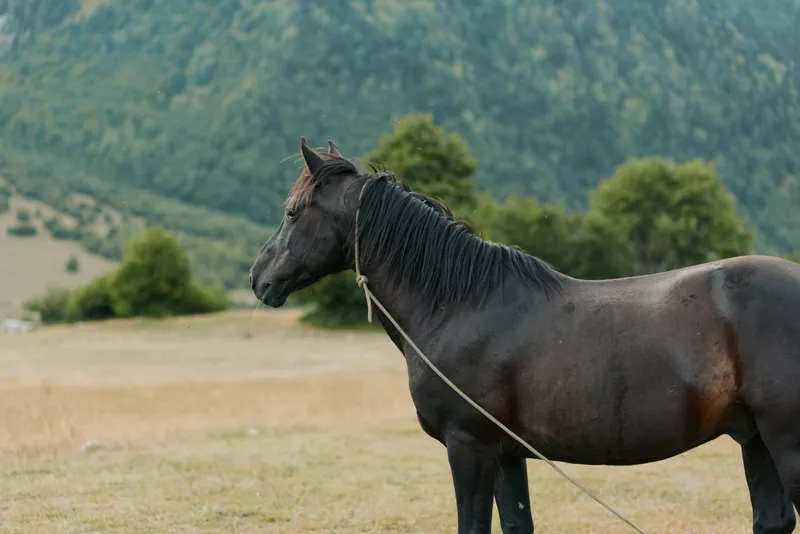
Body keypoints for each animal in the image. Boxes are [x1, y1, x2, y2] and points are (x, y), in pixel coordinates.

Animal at [250, 137, 800, 534]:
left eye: (292, 211)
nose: (258, 278)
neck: (461, 306)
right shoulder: (507, 454)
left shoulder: (469, 447)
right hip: (755, 439)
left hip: (785, 441)